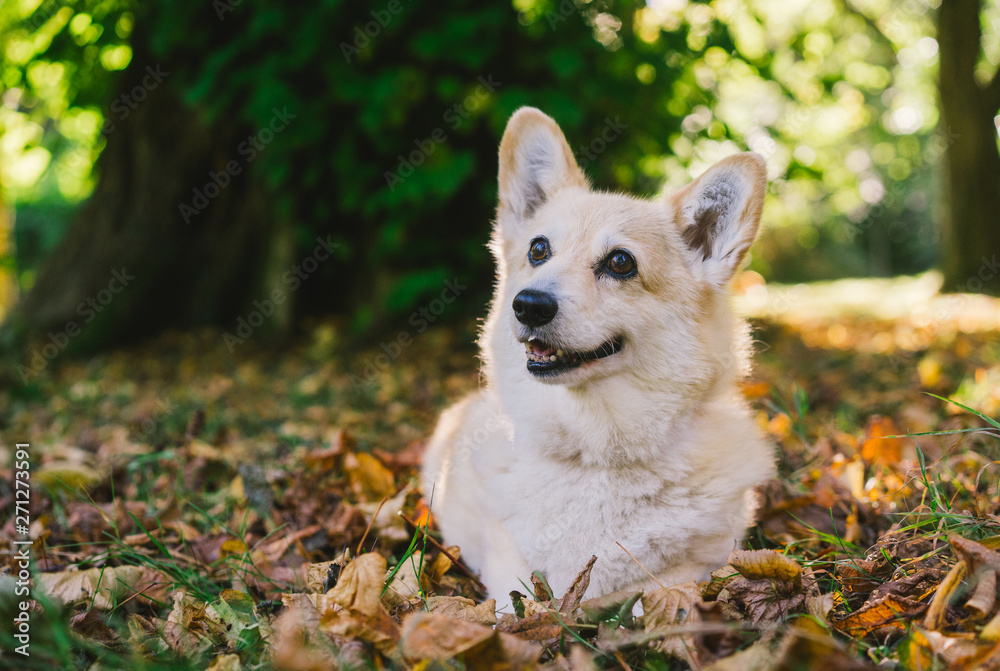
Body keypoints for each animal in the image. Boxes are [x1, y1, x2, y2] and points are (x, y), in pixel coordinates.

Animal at [418, 109, 776, 604]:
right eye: (538, 249)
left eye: (621, 262)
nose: (529, 305)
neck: (595, 449)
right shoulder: (507, 563)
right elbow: (515, 602)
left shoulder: (703, 563)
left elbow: (659, 594)